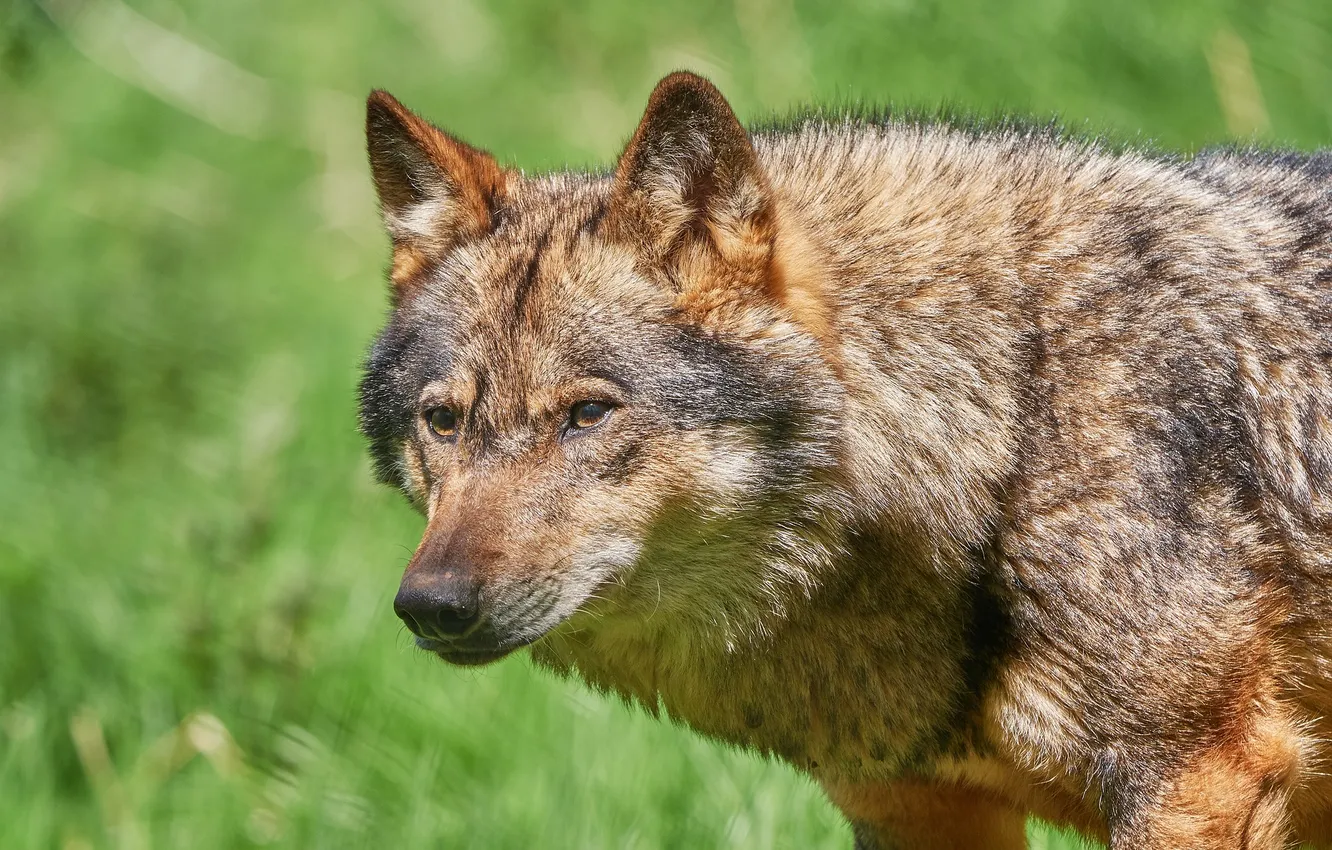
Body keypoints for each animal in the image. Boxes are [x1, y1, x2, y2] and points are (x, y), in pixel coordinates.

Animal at [357, 71, 1332, 848]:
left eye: (587, 414)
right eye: (442, 422)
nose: (431, 605)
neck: (1014, 425)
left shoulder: (1195, 782)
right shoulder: (910, 804)